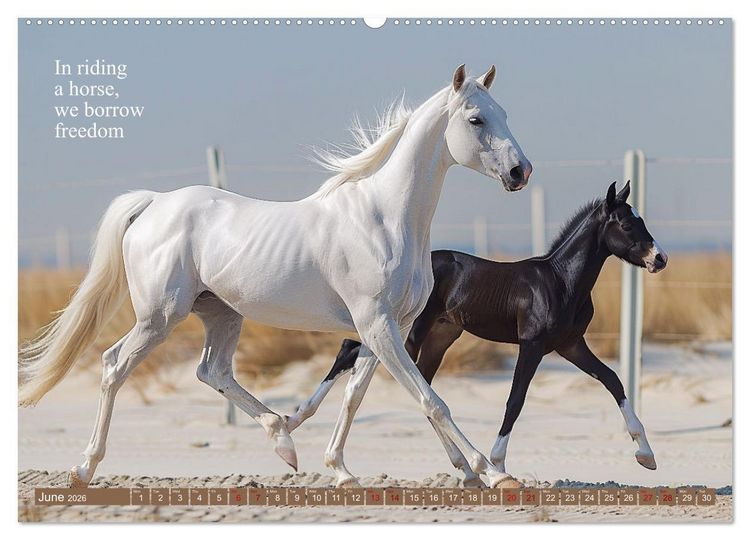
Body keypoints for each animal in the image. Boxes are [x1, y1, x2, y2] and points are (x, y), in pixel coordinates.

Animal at [18, 64, 533, 489]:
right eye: (476, 120)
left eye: (505, 113)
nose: (520, 171)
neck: (386, 218)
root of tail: (154, 203)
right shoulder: (376, 324)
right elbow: (430, 399)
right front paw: (492, 472)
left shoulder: (388, 327)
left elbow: (360, 396)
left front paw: (345, 471)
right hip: (159, 317)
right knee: (113, 366)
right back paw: (84, 468)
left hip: (221, 314)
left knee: (211, 370)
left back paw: (283, 437)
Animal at [286, 181, 667, 487]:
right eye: (627, 224)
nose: (660, 258)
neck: (560, 281)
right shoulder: (532, 344)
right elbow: (515, 400)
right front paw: (498, 463)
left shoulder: (571, 345)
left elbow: (613, 380)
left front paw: (646, 455)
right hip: (407, 333)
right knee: (355, 356)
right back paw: (293, 421)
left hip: (439, 338)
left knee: (416, 385)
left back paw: (466, 471)